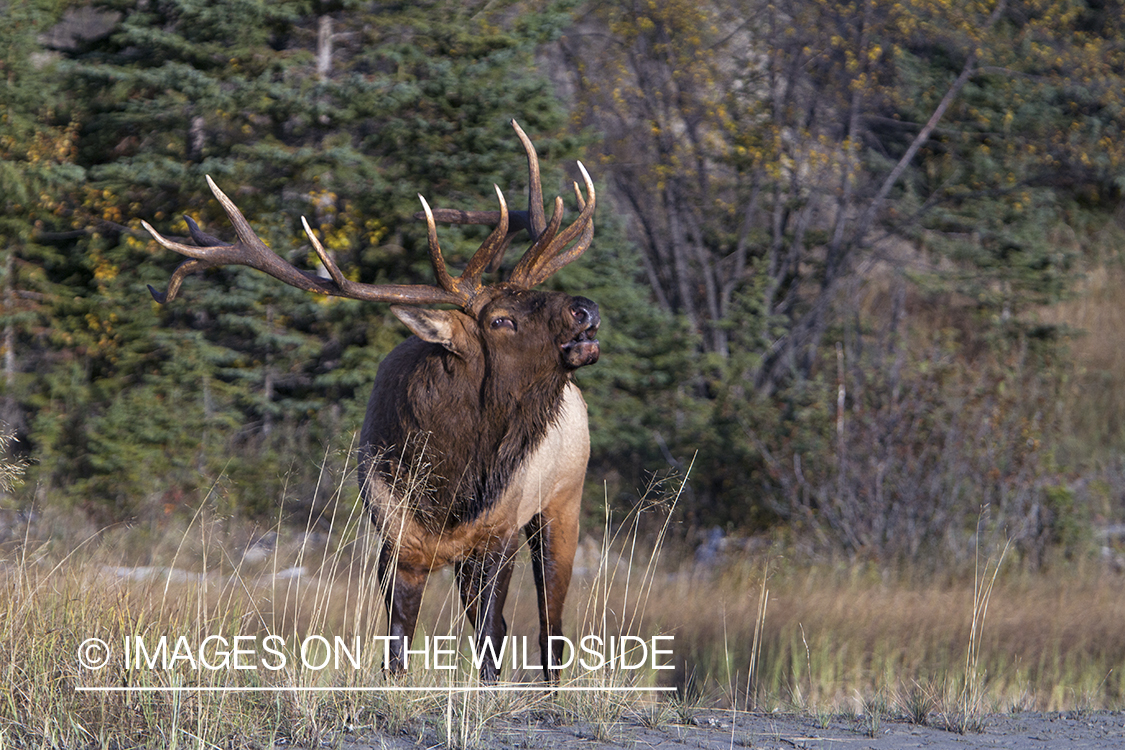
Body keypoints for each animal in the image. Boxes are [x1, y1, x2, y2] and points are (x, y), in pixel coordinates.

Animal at [145, 120, 603, 683]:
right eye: (501, 319)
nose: (586, 309)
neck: (449, 486)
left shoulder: (497, 537)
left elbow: (491, 643)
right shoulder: (395, 541)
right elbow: (398, 644)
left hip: (563, 499)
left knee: (551, 624)